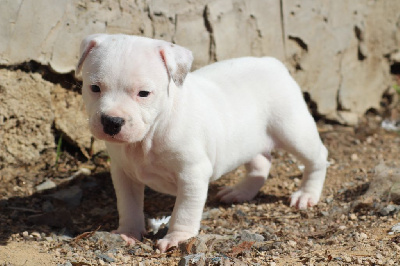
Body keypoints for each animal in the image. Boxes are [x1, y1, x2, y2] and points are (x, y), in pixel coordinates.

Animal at [76, 33, 328, 251]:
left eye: (144, 93)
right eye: (94, 88)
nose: (111, 122)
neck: (149, 136)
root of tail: (272, 63)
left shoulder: (192, 174)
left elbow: (184, 210)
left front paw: (177, 238)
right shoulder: (123, 173)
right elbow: (128, 205)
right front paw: (127, 232)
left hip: (293, 129)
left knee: (317, 157)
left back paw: (306, 194)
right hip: (249, 138)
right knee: (261, 163)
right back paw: (240, 192)